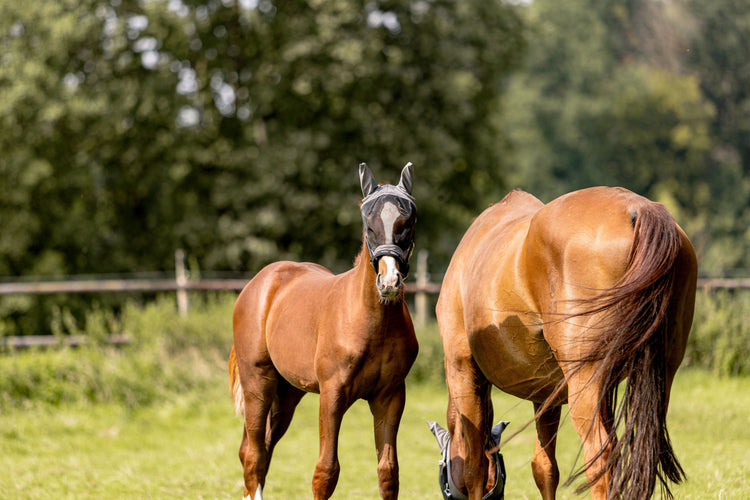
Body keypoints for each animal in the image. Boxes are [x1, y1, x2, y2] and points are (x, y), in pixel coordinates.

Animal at [228, 162, 419, 500]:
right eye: (368, 224)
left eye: (408, 221)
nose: (389, 282)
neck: (372, 324)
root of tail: (259, 282)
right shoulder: (332, 396)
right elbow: (326, 472)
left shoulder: (391, 396)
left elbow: (388, 473)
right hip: (258, 384)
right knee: (253, 455)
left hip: (286, 395)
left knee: (259, 450)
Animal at [430, 187, 697, 500]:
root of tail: (639, 208)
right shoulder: (547, 394)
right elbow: (544, 468)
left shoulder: (463, 372)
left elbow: (474, 467)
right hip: (659, 376)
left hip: (585, 383)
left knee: (600, 457)